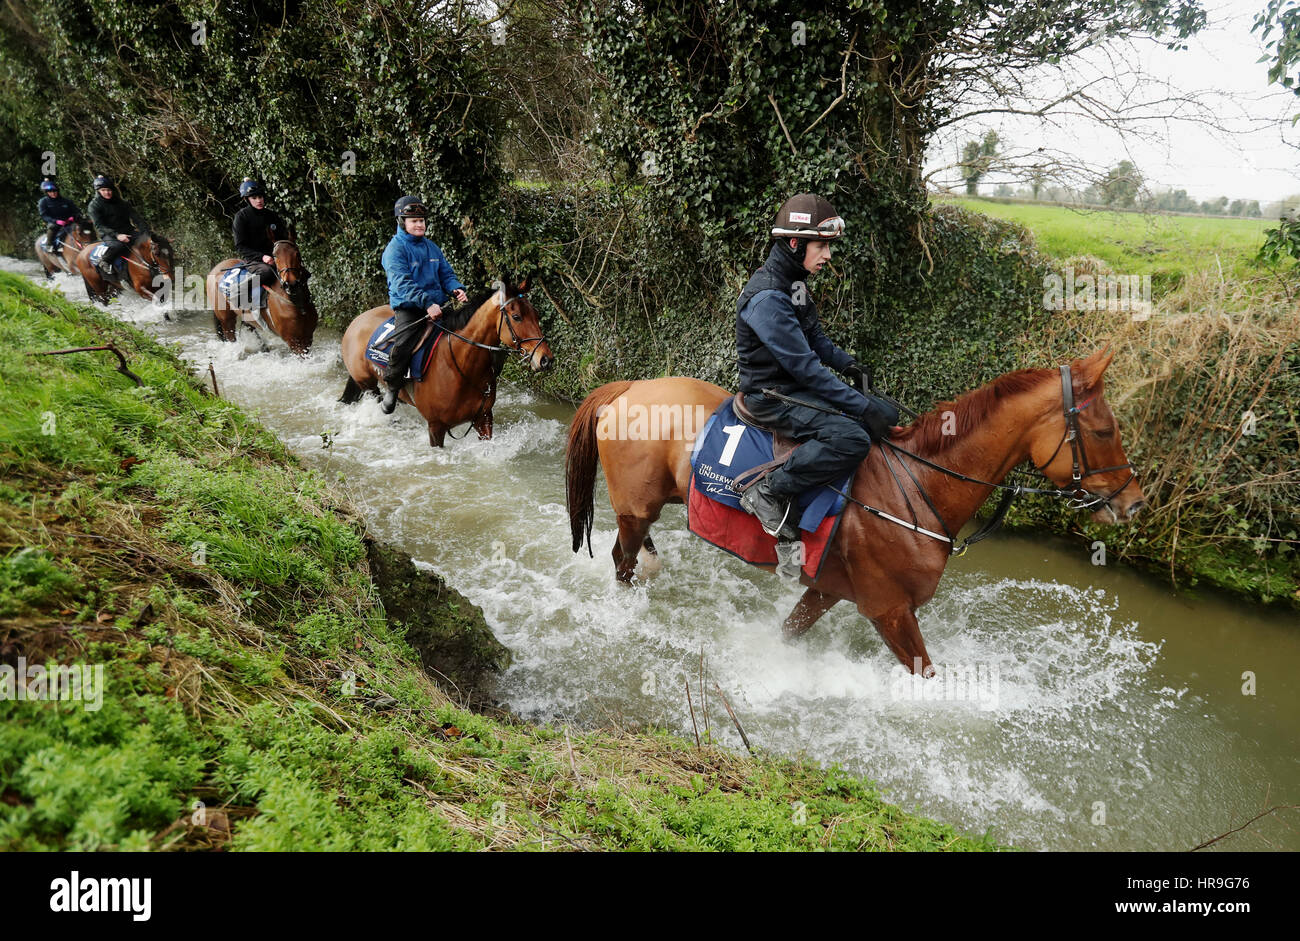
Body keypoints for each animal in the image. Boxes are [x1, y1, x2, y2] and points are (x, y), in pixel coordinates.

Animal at [338, 275, 551, 449]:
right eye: (516, 317)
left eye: (536, 314)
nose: (545, 359)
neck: (461, 366)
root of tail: (356, 321)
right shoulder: (436, 427)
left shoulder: (484, 419)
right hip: (368, 385)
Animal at [564, 345, 1144, 675]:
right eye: (1103, 431)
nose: (1134, 503)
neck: (919, 487)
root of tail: (630, 388)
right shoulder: (890, 610)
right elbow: (926, 674)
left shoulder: (829, 591)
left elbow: (790, 631)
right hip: (635, 511)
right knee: (621, 561)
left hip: (646, 508)